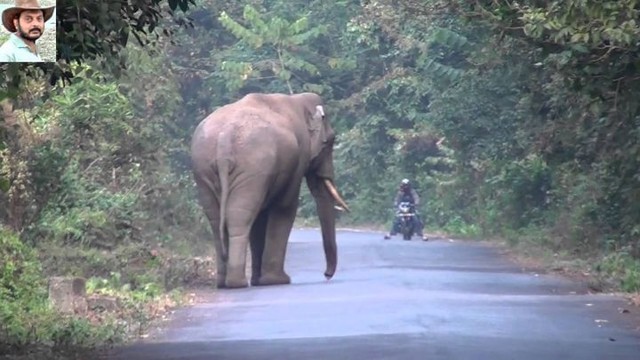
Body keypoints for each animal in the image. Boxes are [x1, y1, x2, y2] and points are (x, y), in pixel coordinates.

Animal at [190, 91, 350, 288]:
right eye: (330, 142)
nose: (326, 275)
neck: (297, 100)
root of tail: (224, 139)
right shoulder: (298, 157)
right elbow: (285, 208)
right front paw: (277, 280)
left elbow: (260, 218)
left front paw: (259, 281)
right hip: (252, 168)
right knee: (239, 217)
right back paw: (238, 282)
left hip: (204, 169)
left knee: (216, 219)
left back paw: (223, 283)